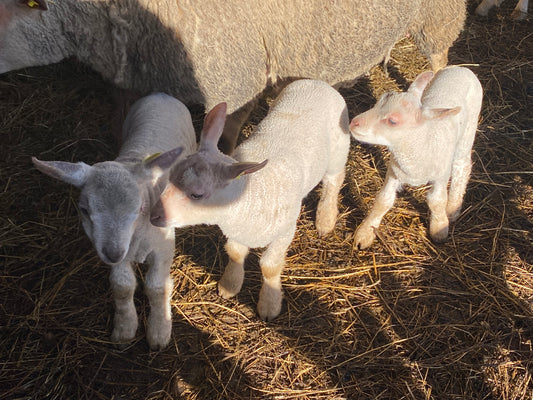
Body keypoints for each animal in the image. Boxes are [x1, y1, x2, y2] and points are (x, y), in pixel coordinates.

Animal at [30, 92, 195, 348]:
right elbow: (122, 286)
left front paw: (159, 331)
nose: (113, 253)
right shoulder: (115, 248)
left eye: (139, 208)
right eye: (84, 209)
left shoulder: (164, 246)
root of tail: (161, 94)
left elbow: (157, 287)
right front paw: (125, 328)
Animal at [148, 79, 352, 320]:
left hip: (339, 147)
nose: (153, 216)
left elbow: (270, 266)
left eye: (197, 194)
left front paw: (269, 304)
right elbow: (235, 253)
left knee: (334, 180)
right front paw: (230, 284)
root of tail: (317, 83)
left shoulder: (285, 231)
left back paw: (326, 219)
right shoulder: (236, 231)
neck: (251, 196)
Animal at [350, 67, 482, 248]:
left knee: (462, 166)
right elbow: (383, 200)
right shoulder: (394, 171)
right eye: (377, 104)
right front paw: (365, 232)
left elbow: (437, 201)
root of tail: (462, 68)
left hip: (468, 130)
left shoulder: (441, 175)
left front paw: (439, 228)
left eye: (392, 121)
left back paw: (453, 207)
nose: (353, 123)